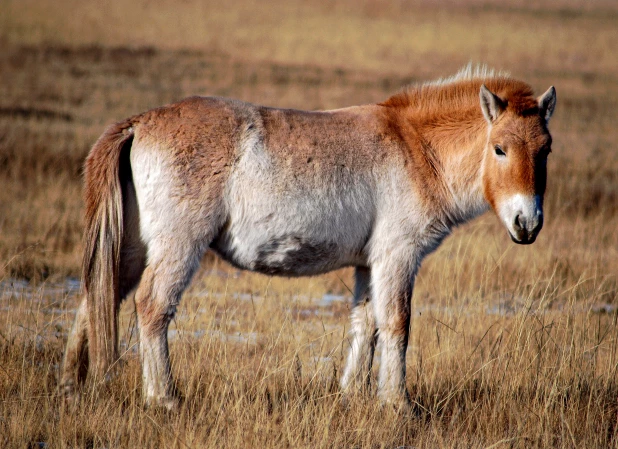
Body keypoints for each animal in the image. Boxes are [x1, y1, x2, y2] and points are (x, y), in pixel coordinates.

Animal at [60, 65, 556, 410]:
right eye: (499, 149)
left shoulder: (369, 264)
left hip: (131, 248)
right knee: (152, 307)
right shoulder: (397, 258)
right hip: (179, 246)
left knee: (97, 294)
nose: (527, 224)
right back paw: (164, 397)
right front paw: (398, 404)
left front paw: (352, 397)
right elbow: (397, 324)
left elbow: (366, 325)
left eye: (546, 149)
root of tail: (139, 123)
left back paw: (73, 386)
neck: (416, 147)